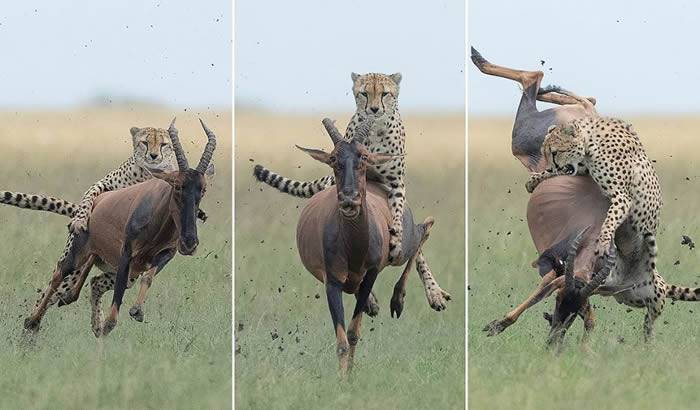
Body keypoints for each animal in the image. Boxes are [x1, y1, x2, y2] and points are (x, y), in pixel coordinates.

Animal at [254, 73, 452, 310]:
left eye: (385, 93)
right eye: (364, 93)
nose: (374, 109)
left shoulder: (396, 185)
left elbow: (399, 224)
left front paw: (395, 243)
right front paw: (369, 298)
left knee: (416, 243)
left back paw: (431, 292)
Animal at [296, 116, 438, 374]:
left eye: (363, 157)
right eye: (333, 158)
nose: (349, 200)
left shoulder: (370, 273)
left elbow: (353, 333)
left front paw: (349, 376)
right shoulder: (332, 282)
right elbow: (342, 340)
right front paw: (344, 377)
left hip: (401, 249)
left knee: (426, 227)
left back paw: (402, 300)